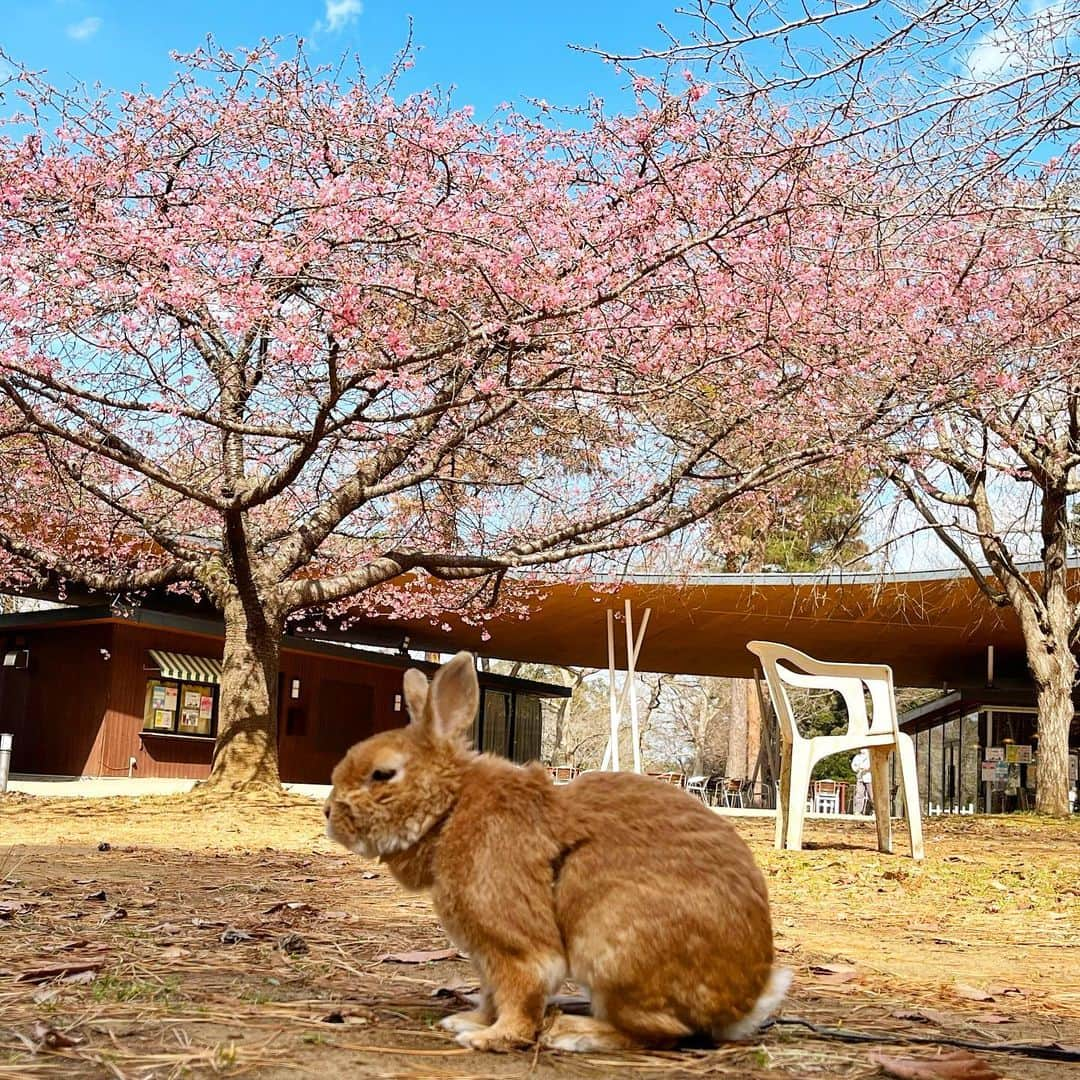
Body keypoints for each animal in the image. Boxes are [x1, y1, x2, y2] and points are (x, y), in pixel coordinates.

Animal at [324, 648, 790, 1054]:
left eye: (383, 774)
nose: (329, 812)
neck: (451, 808)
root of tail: (742, 1005)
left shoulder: (513, 943)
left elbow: (520, 992)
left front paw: (489, 1038)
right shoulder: (484, 956)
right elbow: (491, 994)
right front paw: (466, 1021)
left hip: (611, 947)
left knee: (664, 1032)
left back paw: (574, 1033)